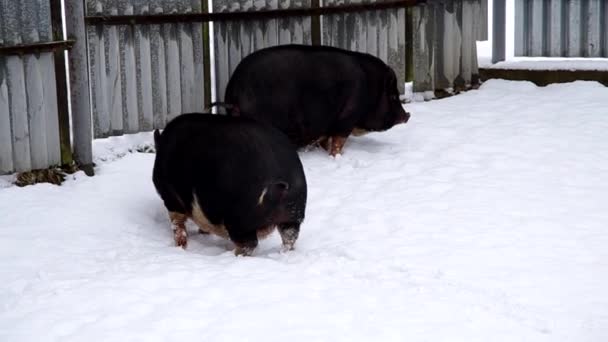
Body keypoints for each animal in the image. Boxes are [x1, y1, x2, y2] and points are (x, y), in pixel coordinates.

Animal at [150, 113, 306, 256]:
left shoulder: (171, 198)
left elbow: (177, 223)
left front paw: (181, 246)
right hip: (293, 215)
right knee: (290, 238)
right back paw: (283, 253)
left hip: (239, 220)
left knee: (249, 243)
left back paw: (232, 255)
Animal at [216, 43, 410, 155]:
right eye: (393, 96)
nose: (407, 115)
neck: (371, 88)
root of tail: (235, 93)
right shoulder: (346, 119)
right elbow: (337, 143)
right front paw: (338, 157)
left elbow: (325, 142)